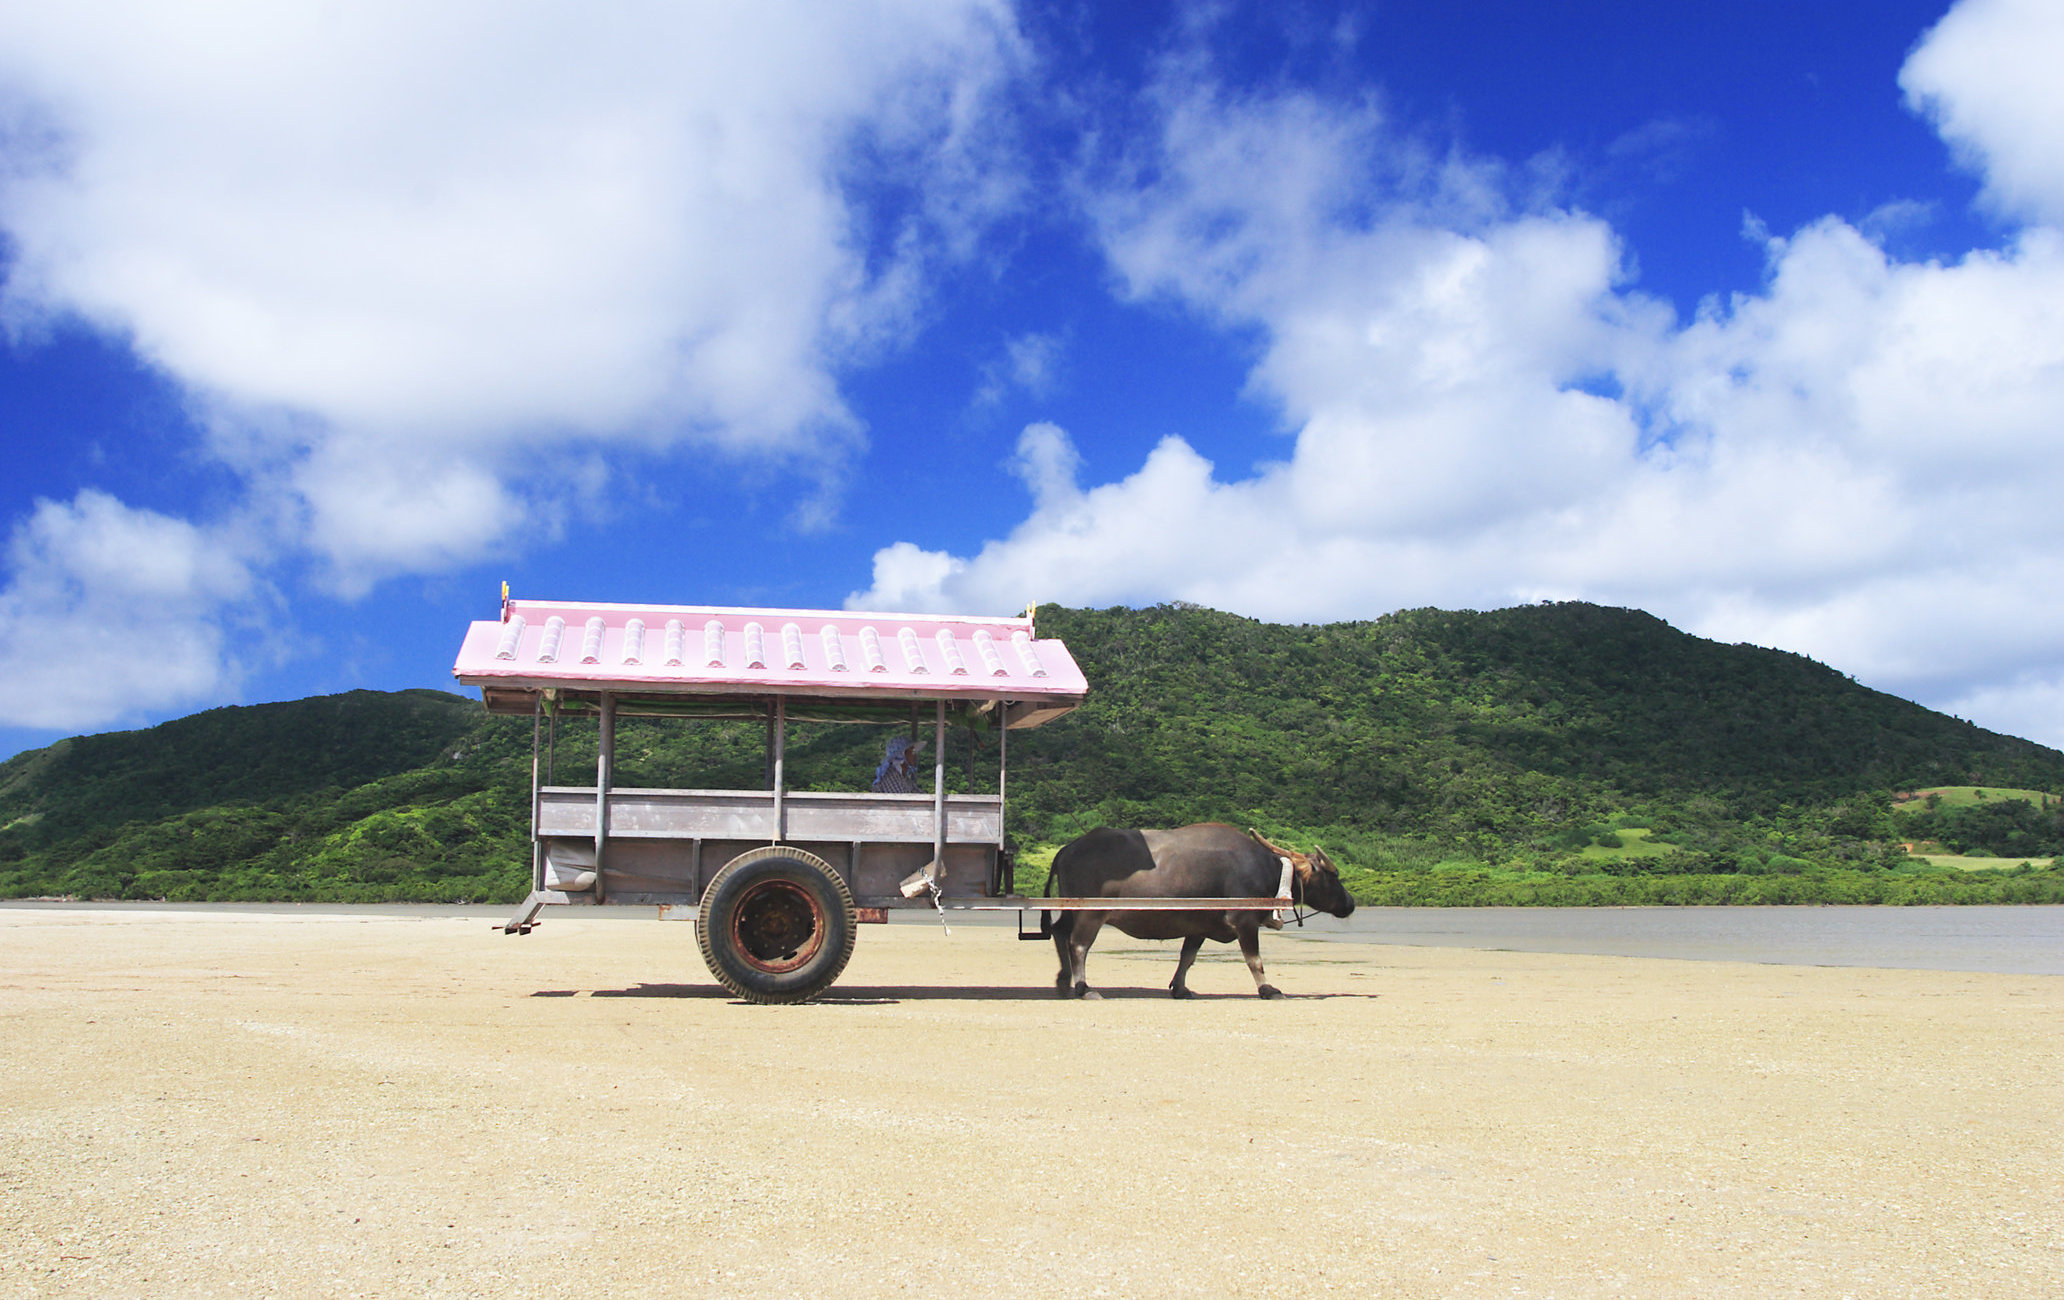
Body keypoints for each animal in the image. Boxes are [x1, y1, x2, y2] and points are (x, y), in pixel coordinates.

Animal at [1048, 829, 1353, 1002]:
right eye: (1333, 876)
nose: (1350, 903)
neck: (1268, 870)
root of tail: (1067, 849)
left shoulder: (1199, 926)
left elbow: (1188, 957)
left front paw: (1180, 988)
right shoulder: (1245, 922)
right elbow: (1254, 960)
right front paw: (1268, 989)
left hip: (1069, 909)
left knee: (1059, 933)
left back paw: (1063, 982)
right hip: (1090, 913)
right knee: (1079, 945)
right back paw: (1084, 987)